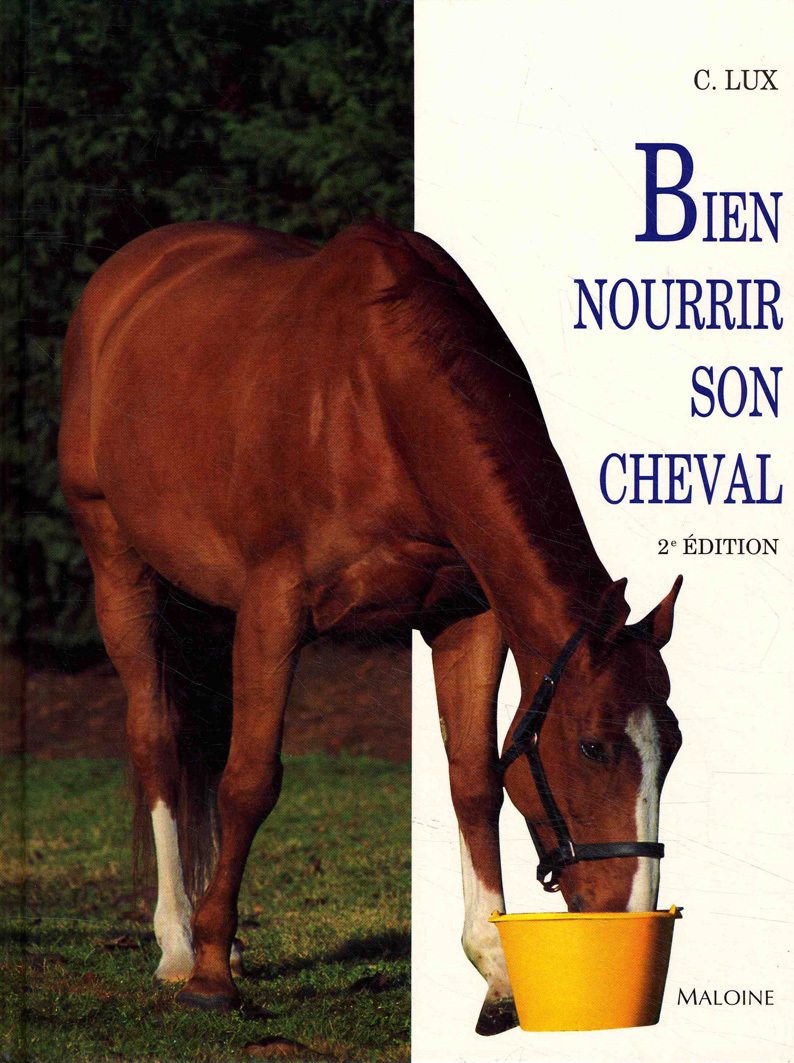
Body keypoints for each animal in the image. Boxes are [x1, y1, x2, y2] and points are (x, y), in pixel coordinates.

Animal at [58, 218, 682, 1036]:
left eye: (672, 747)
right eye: (594, 746)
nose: (630, 915)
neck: (373, 401)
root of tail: (129, 272)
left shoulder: (464, 617)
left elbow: (474, 780)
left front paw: (496, 970)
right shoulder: (274, 608)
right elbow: (248, 782)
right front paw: (212, 977)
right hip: (116, 558)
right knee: (157, 738)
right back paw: (176, 943)